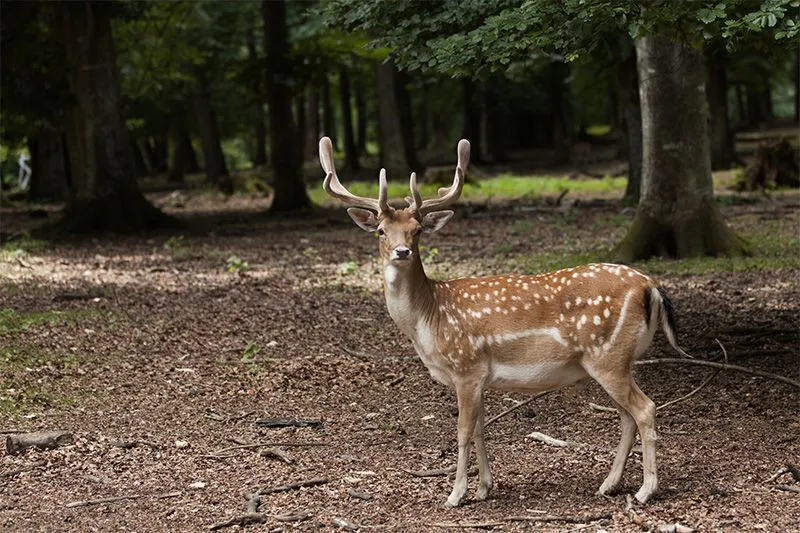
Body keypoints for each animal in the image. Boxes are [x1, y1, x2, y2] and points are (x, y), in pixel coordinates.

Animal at [319, 136, 690, 508]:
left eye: (417, 230)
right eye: (381, 231)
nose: (402, 251)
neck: (429, 319)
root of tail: (650, 286)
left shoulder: (466, 367)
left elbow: (463, 430)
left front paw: (456, 494)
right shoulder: (480, 378)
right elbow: (480, 428)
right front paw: (484, 487)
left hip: (608, 356)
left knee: (644, 409)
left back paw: (645, 490)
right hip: (619, 359)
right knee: (627, 416)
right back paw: (609, 484)